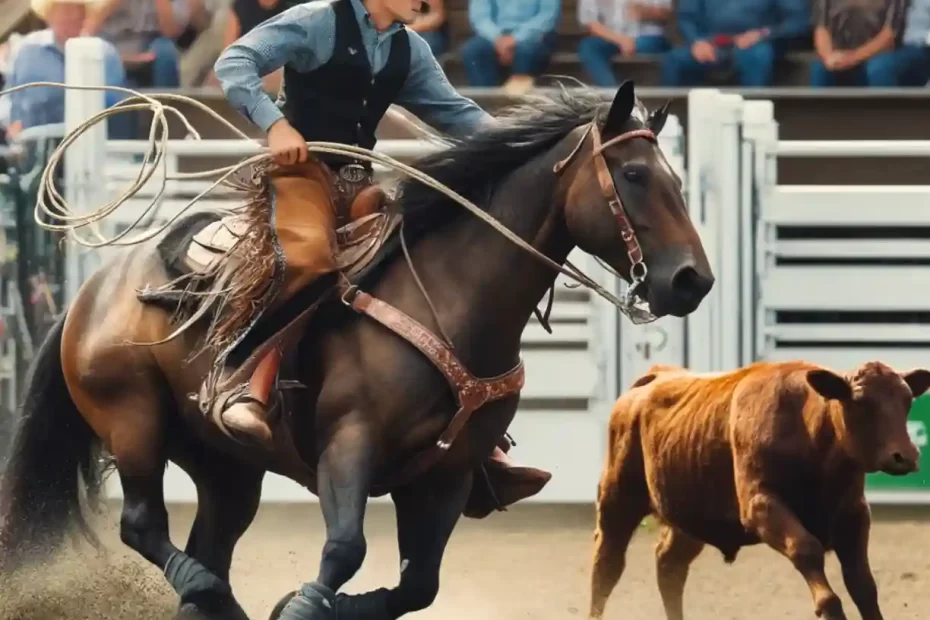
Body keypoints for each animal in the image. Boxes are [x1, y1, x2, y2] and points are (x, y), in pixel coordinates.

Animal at [0, 82, 716, 620]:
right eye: (633, 174)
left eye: (677, 179)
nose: (692, 281)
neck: (449, 297)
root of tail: (95, 289)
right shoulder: (350, 444)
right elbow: (345, 548)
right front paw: (300, 605)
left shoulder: (448, 472)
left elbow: (417, 584)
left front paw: (315, 604)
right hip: (133, 420)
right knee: (144, 524)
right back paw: (206, 589)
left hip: (227, 467)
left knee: (208, 544)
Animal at [588, 358, 928, 620]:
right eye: (860, 402)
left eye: (907, 400)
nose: (906, 456)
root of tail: (655, 376)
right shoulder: (761, 505)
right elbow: (808, 551)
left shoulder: (853, 514)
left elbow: (863, 586)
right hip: (618, 498)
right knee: (606, 565)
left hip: (690, 514)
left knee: (670, 565)